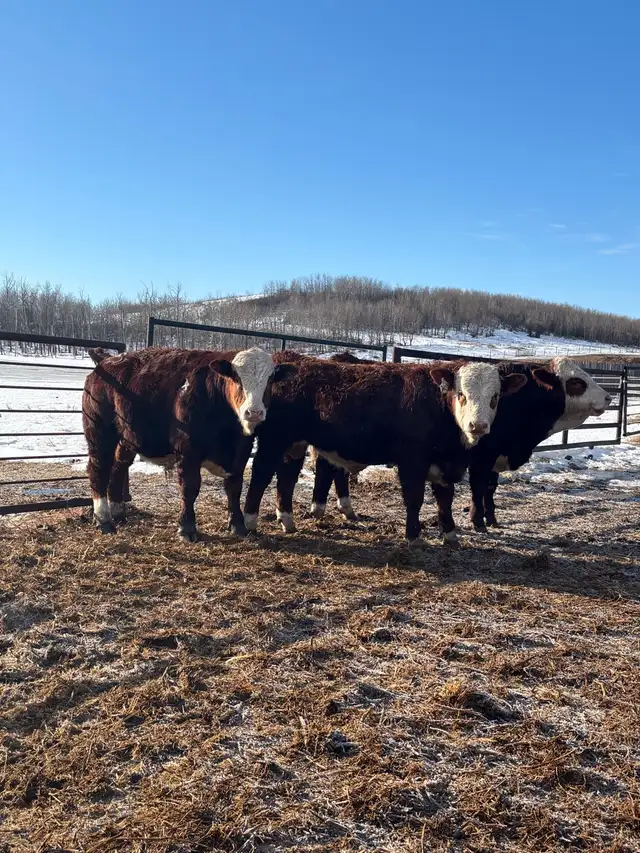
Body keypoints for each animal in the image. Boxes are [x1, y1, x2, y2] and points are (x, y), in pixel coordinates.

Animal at [82, 346, 296, 540]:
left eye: (270, 379)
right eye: (236, 377)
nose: (254, 412)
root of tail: (107, 360)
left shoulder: (241, 451)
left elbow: (234, 487)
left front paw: (238, 526)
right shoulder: (188, 451)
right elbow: (190, 488)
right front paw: (187, 528)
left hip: (126, 438)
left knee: (119, 466)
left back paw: (118, 512)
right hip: (99, 432)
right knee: (98, 469)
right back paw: (104, 520)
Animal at [243, 353, 528, 542]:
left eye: (495, 397)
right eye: (461, 395)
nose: (477, 425)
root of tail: (290, 359)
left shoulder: (446, 465)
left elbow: (444, 500)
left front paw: (449, 535)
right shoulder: (412, 461)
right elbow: (414, 498)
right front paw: (414, 536)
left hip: (294, 443)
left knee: (286, 477)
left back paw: (287, 520)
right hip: (274, 440)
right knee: (261, 474)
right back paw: (250, 521)